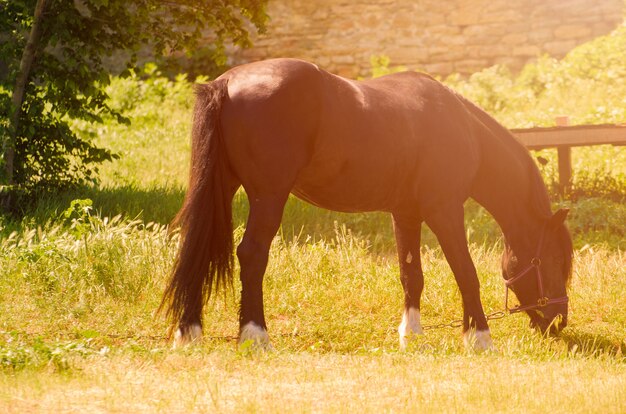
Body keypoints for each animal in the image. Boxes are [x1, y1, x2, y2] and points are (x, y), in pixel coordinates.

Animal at [160, 57, 572, 350]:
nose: (558, 321)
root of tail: (226, 83)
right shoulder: (444, 210)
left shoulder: (405, 213)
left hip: (222, 190)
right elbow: (465, 272)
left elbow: (412, 274)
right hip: (269, 196)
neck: (458, 126)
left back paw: (189, 332)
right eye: (553, 260)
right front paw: (480, 338)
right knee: (252, 255)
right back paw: (256, 336)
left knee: (197, 249)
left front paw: (412, 334)